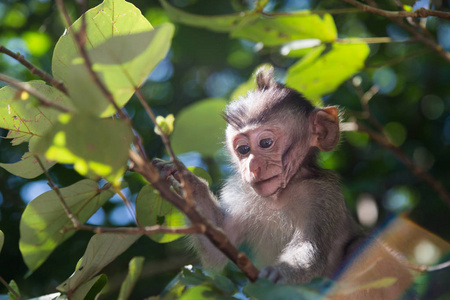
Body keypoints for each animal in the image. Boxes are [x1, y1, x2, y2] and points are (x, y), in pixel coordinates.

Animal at [155, 67, 362, 284]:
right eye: (243, 149)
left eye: (266, 143)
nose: (252, 167)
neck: (279, 196)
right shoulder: (240, 194)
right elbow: (217, 247)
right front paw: (185, 179)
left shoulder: (323, 195)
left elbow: (310, 251)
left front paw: (278, 273)